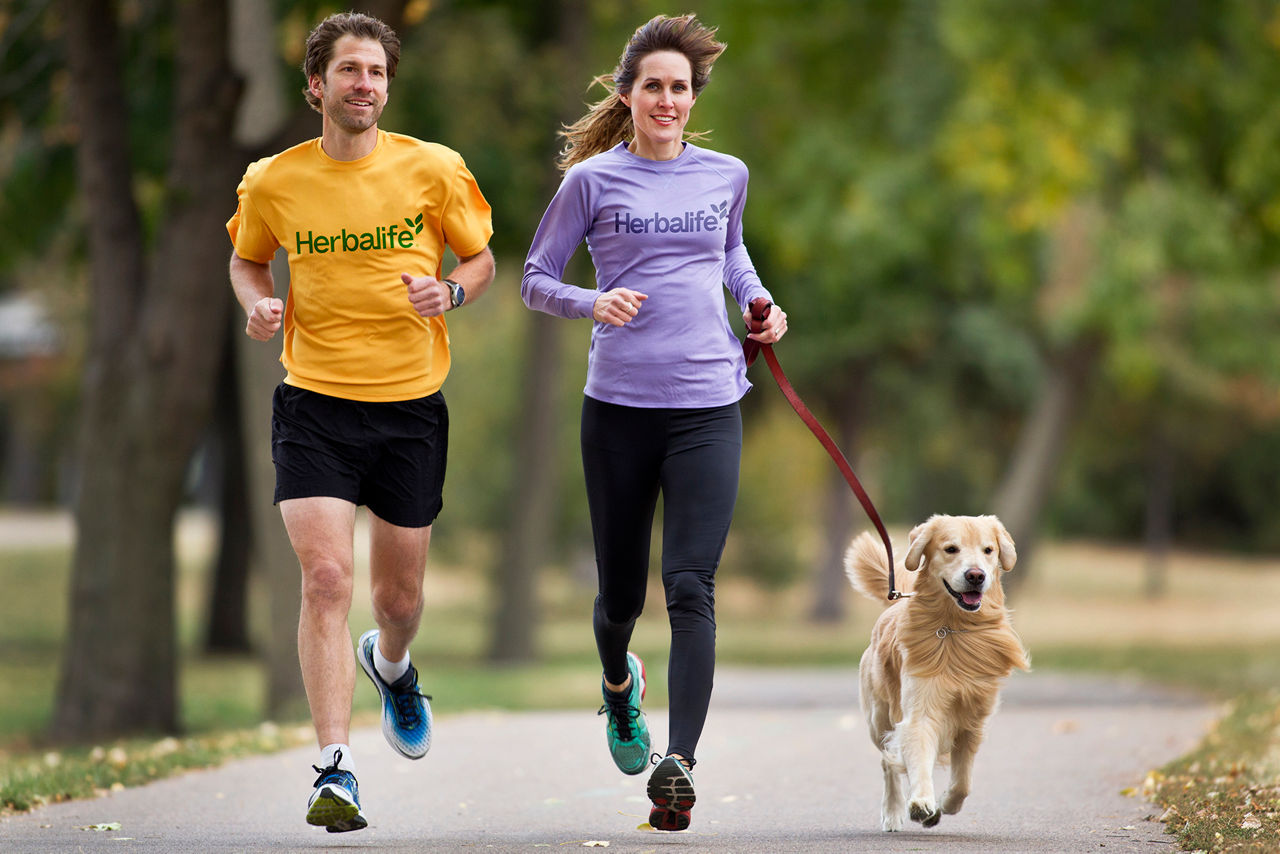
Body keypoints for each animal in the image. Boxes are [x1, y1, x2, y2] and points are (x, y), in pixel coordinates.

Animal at [849, 517, 1029, 829]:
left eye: (988, 550)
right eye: (950, 549)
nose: (976, 575)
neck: (955, 627)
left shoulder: (973, 719)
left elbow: (963, 782)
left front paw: (944, 804)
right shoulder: (920, 711)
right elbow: (917, 755)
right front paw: (922, 802)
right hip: (878, 717)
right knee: (887, 760)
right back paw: (893, 812)